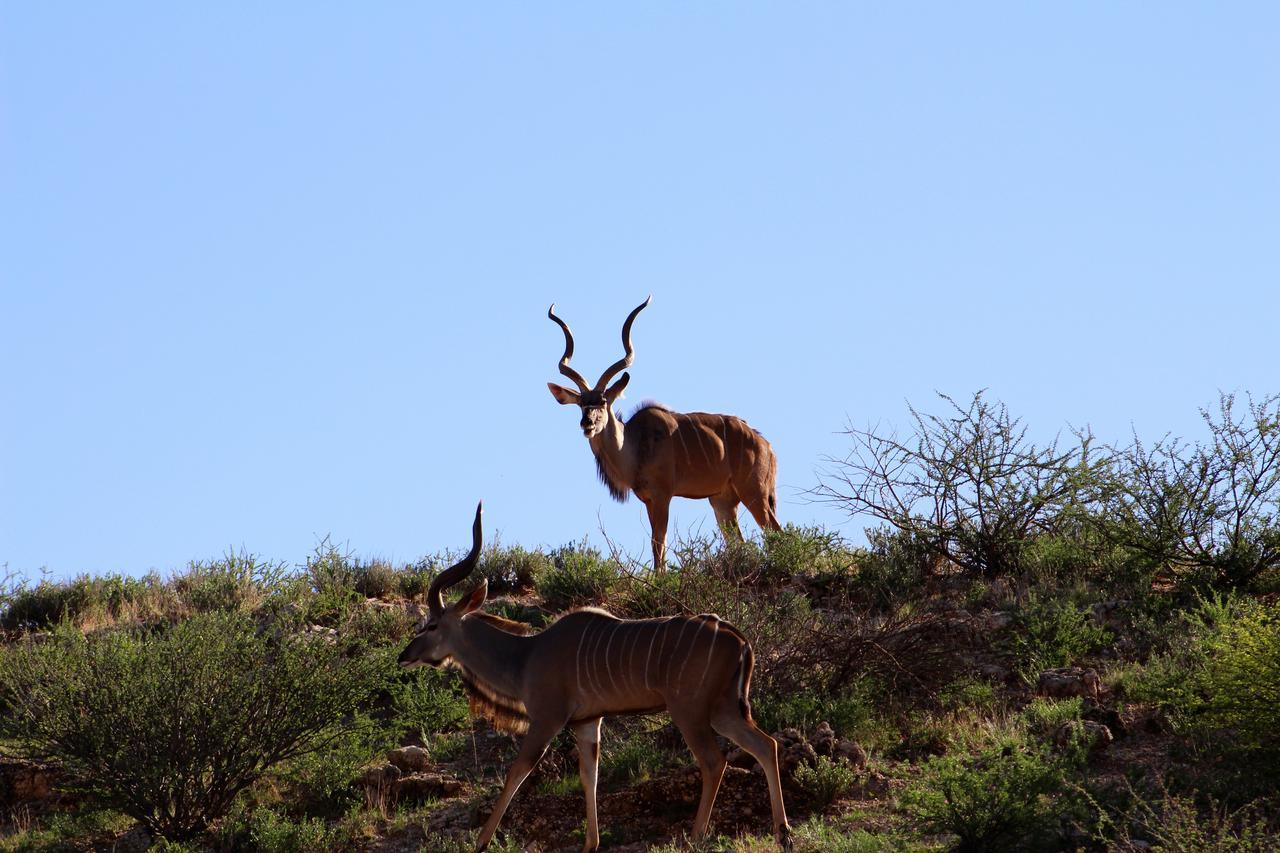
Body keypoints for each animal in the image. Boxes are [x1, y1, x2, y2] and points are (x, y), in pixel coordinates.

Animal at [394, 502, 788, 845]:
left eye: (431, 625)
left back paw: (695, 837)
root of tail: (738, 637)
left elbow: (516, 773)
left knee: (714, 761)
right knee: (765, 745)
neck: (526, 656)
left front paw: (481, 842)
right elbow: (590, 779)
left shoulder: (547, 720)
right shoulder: (587, 723)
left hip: (688, 711)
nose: (404, 656)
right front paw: (591, 844)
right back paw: (782, 833)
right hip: (722, 710)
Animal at [542, 295, 778, 568]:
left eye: (602, 402)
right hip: (723, 500)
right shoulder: (648, 500)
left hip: (754, 493)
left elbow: (659, 543)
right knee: (740, 542)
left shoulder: (663, 495)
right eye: (581, 403)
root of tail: (767, 446)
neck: (633, 445)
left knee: (777, 532)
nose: (587, 423)